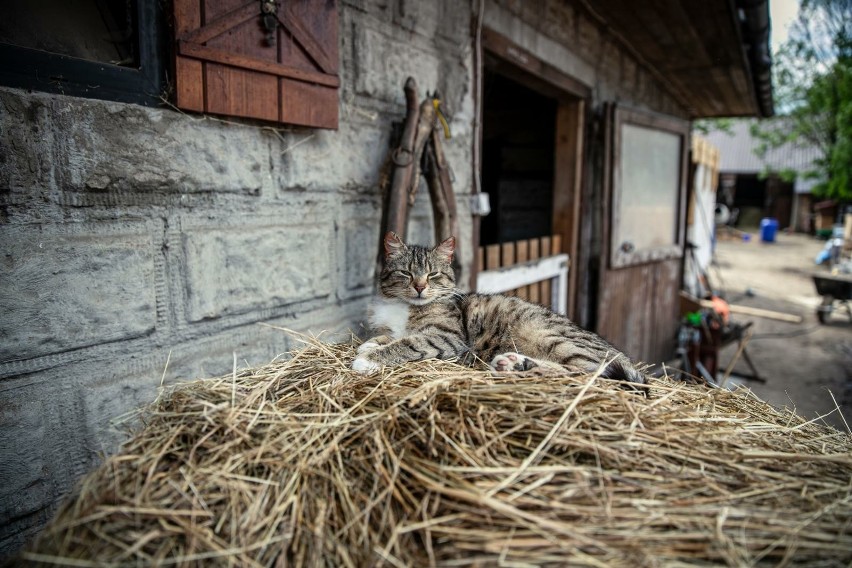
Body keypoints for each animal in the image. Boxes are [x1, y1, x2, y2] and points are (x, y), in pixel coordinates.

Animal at [352, 232, 644, 386]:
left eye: (433, 274)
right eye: (406, 273)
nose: (420, 287)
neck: (405, 306)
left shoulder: (446, 337)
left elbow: (407, 343)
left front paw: (367, 359)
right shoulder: (397, 328)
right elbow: (387, 337)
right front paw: (368, 346)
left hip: (550, 336)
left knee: (587, 375)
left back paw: (516, 365)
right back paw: (513, 363)